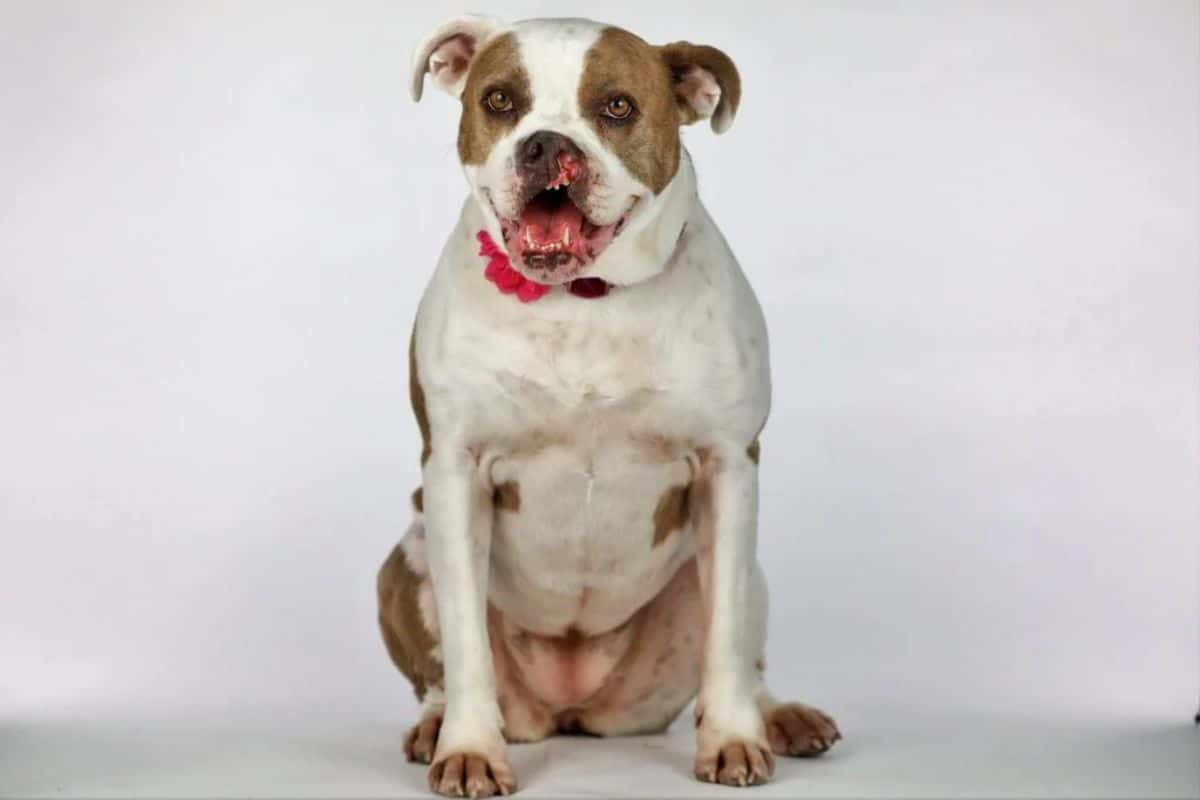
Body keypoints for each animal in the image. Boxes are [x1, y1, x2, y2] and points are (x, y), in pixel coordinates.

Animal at [376, 15, 844, 796]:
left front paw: (733, 740)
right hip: (406, 560)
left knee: (744, 646)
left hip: (743, 575)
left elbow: (725, 636)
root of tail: (573, 708)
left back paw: (780, 715)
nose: (545, 145)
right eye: (500, 100)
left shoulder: (727, 467)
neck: (583, 299)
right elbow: (467, 643)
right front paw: (469, 749)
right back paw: (432, 728)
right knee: (439, 672)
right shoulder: (455, 474)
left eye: (617, 107)